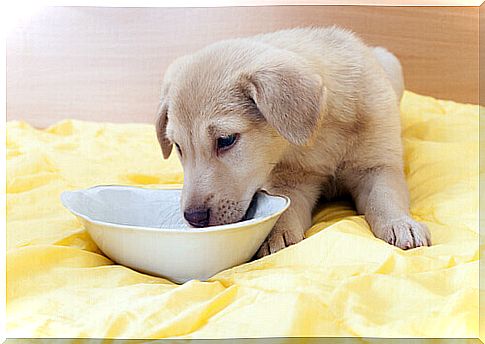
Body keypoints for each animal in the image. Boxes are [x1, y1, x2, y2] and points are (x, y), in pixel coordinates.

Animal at [155, 26, 432, 256]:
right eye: (178, 147)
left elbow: (384, 199)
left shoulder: (378, 168)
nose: (194, 218)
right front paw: (274, 236)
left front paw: (400, 224)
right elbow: (285, 211)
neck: (318, 136)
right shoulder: (291, 184)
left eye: (225, 140)